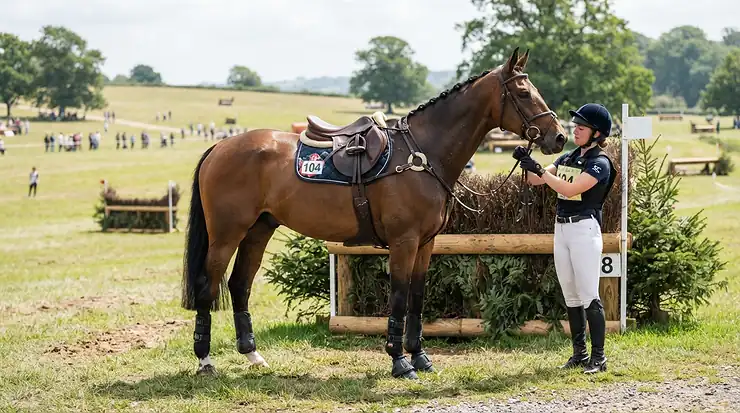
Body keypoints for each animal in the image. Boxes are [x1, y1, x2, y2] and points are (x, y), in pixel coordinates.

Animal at [180, 47, 567, 379]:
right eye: (523, 93)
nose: (559, 137)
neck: (421, 155)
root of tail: (221, 146)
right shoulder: (403, 242)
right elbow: (397, 298)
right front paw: (400, 362)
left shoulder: (426, 244)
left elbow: (416, 298)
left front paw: (420, 357)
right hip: (226, 235)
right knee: (207, 286)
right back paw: (205, 360)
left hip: (259, 230)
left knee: (239, 285)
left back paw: (252, 354)